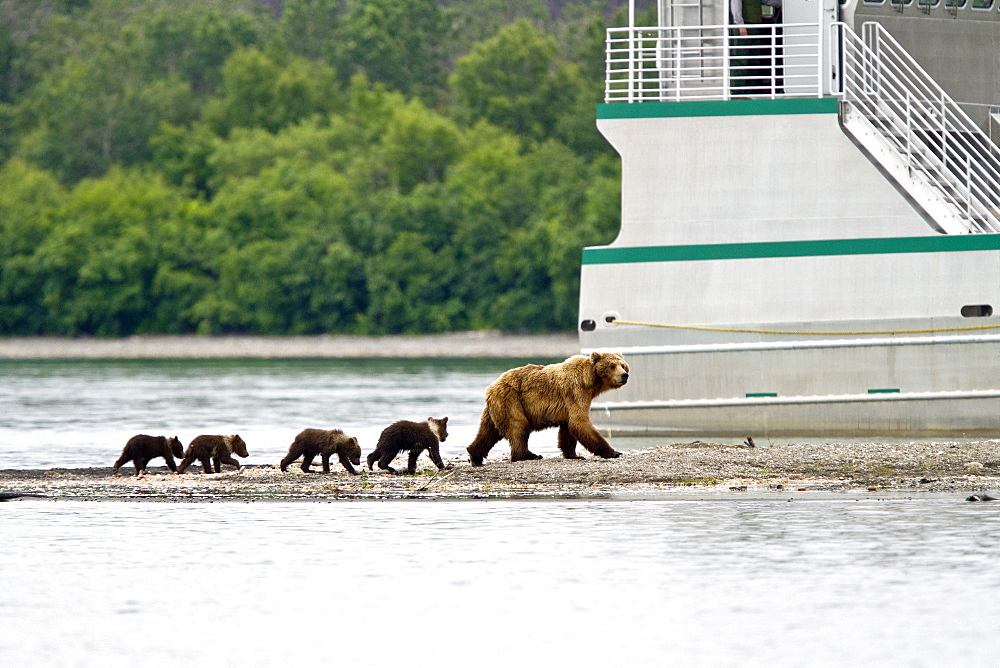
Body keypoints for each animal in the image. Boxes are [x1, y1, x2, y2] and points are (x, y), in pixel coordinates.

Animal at [466, 352, 624, 468]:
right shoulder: (576, 391)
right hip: (512, 400)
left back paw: (475, 455)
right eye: (612, 366)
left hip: (495, 408)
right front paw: (613, 452)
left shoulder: (570, 403)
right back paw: (528, 455)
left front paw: (574, 455)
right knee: (518, 426)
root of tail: (491, 387)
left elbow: (569, 427)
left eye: (622, 365)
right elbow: (580, 423)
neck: (590, 381)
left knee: (488, 431)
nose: (624, 375)